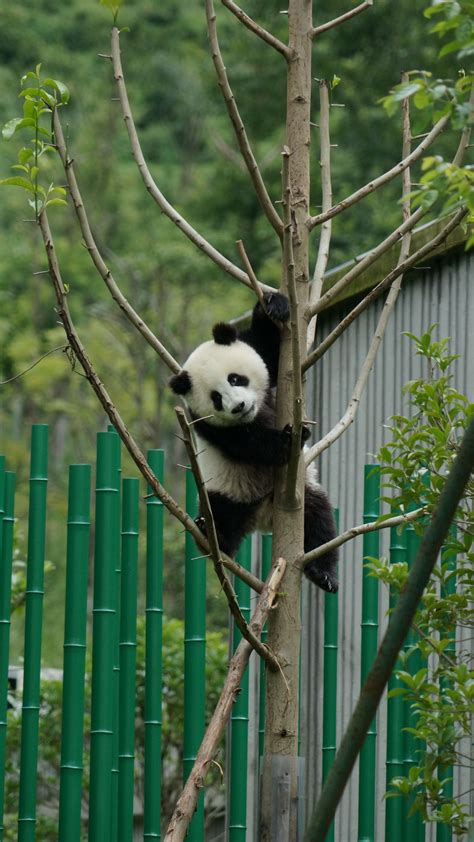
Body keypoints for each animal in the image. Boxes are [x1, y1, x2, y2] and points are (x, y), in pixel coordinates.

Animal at [169, 291, 339, 593]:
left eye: (235, 378)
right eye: (216, 398)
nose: (238, 407)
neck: (257, 412)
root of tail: (263, 518)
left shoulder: (260, 354)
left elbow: (268, 348)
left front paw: (273, 305)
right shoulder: (206, 423)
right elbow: (248, 443)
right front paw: (288, 439)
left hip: (303, 491)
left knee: (318, 520)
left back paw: (324, 574)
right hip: (227, 492)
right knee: (221, 514)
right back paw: (213, 534)